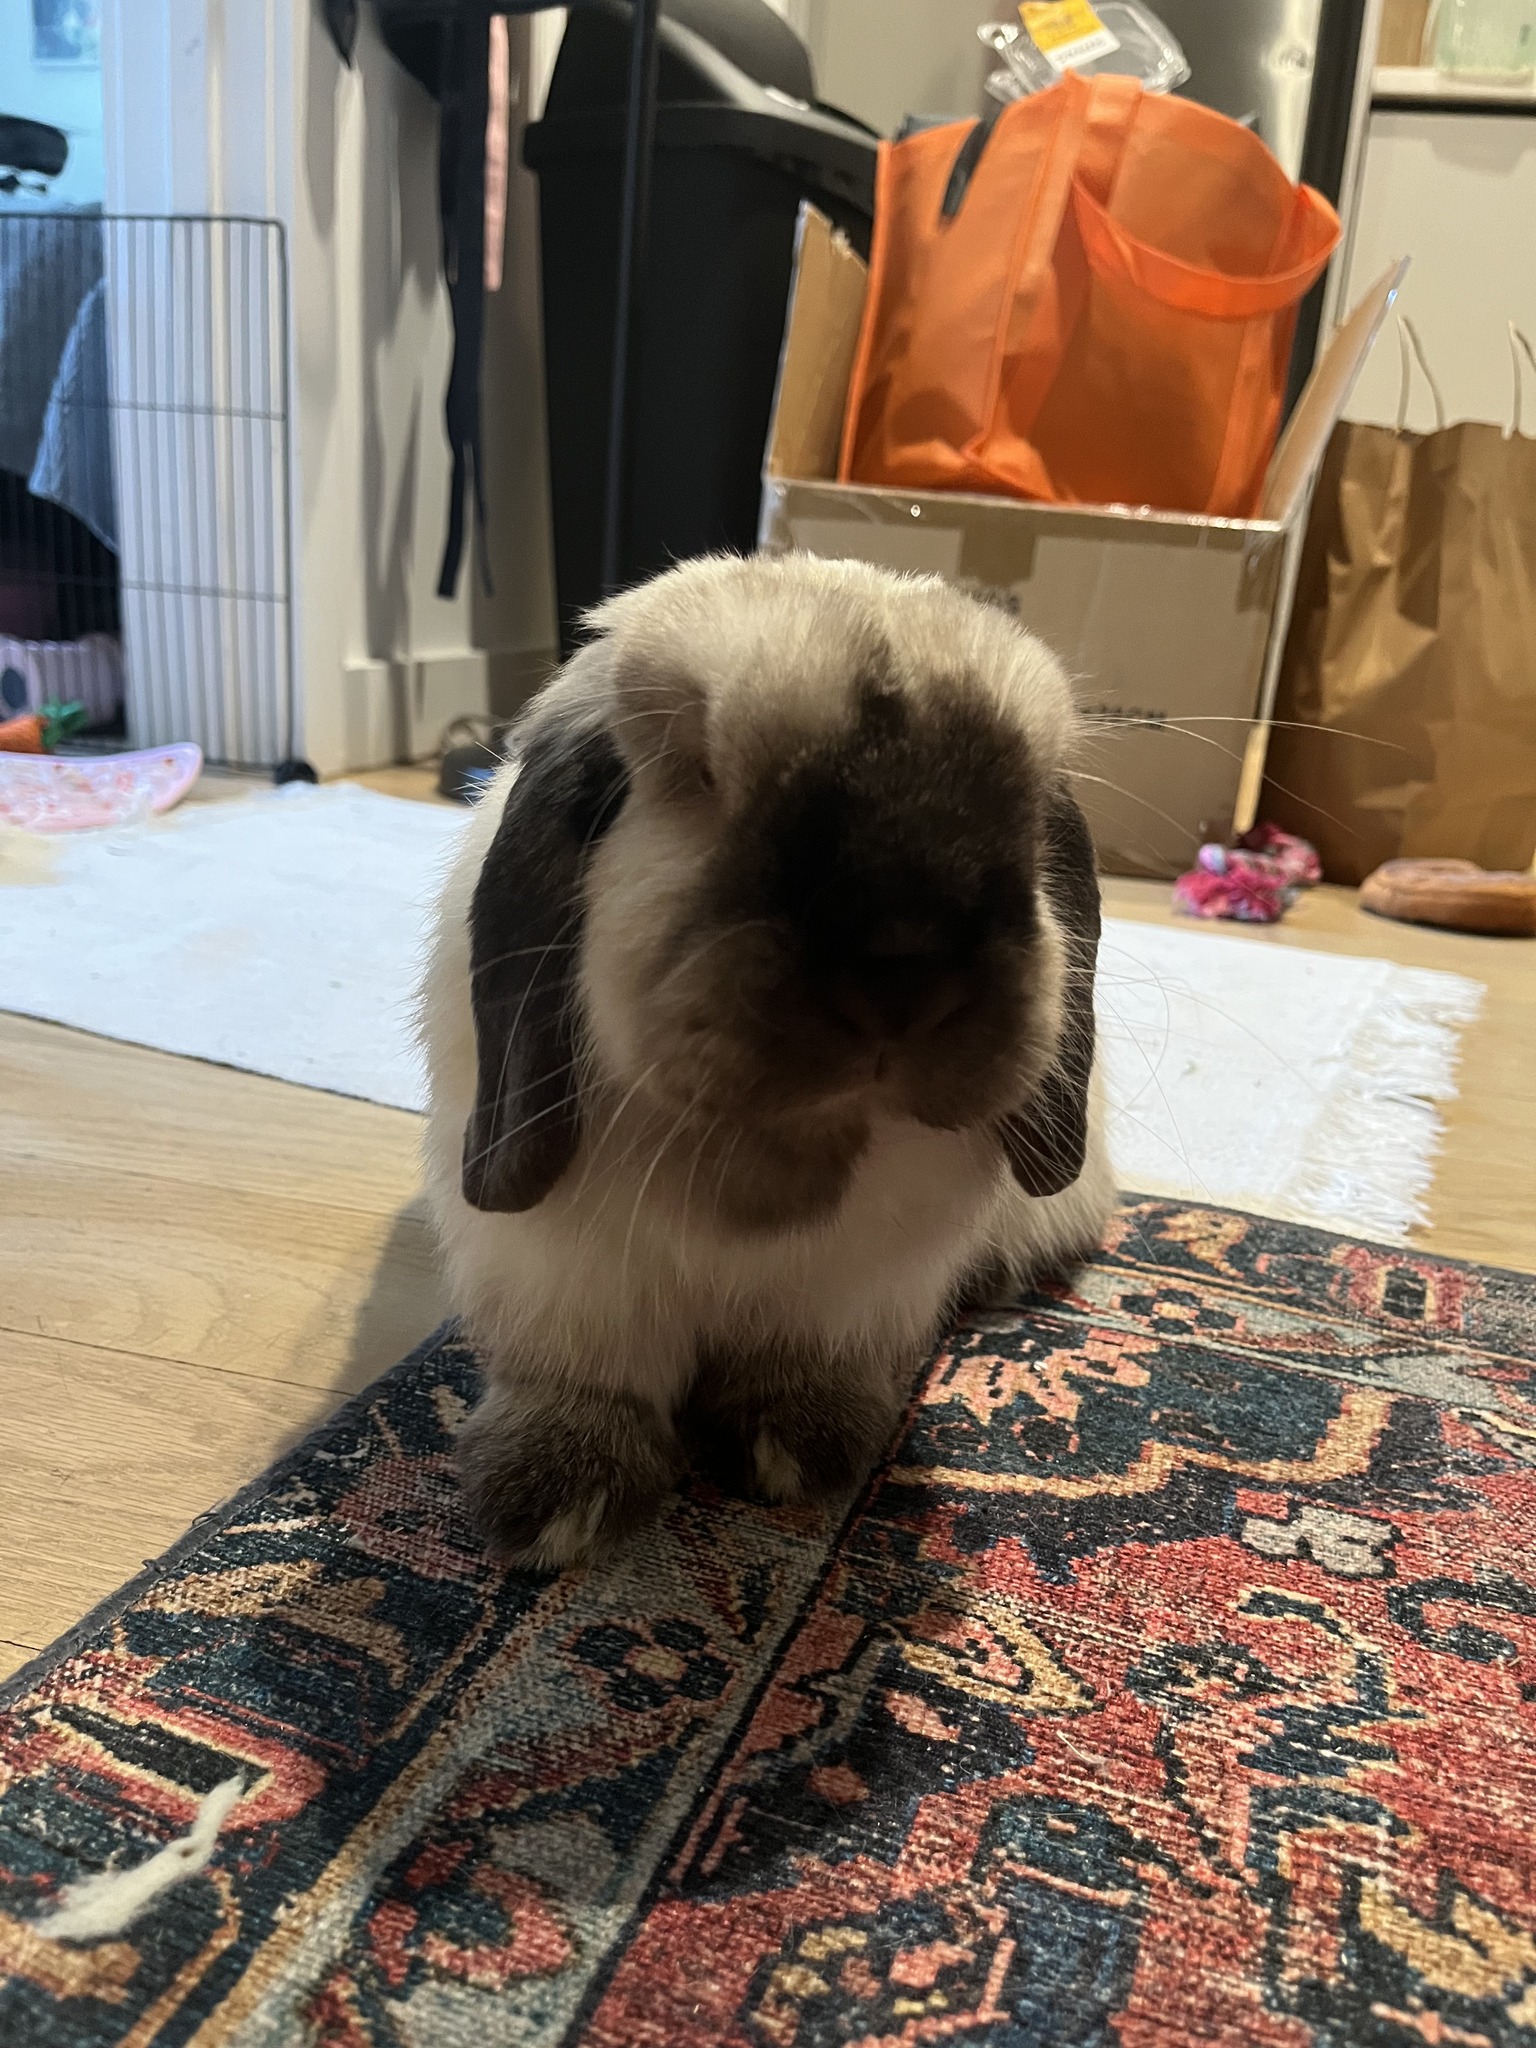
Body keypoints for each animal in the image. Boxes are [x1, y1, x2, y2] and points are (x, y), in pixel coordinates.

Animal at [420, 553, 1115, 1568]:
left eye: (1026, 810)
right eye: (699, 773)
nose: (903, 968)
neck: (778, 1159)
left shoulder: (845, 1293)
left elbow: (800, 1368)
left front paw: (798, 1454)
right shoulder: (564, 1279)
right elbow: (585, 1375)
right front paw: (557, 1504)